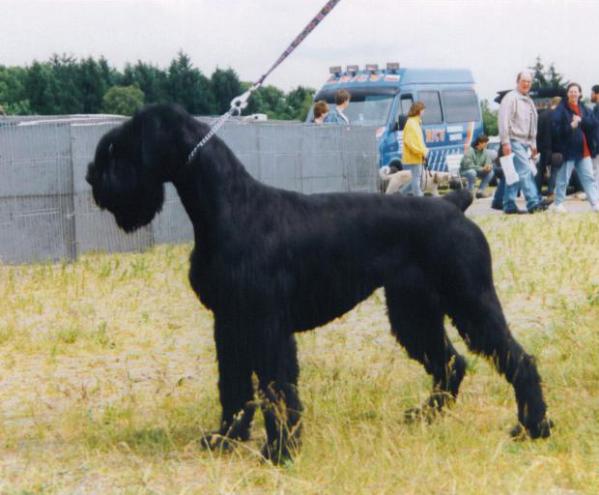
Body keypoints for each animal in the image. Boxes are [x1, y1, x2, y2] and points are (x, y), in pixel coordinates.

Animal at [85, 102, 552, 464]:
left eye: (118, 149)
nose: (92, 178)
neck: (229, 207)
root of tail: (454, 204)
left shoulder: (266, 324)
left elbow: (276, 387)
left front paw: (279, 452)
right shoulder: (229, 323)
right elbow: (233, 386)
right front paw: (225, 438)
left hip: (469, 299)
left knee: (517, 358)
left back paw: (533, 427)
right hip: (413, 311)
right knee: (451, 363)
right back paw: (426, 416)